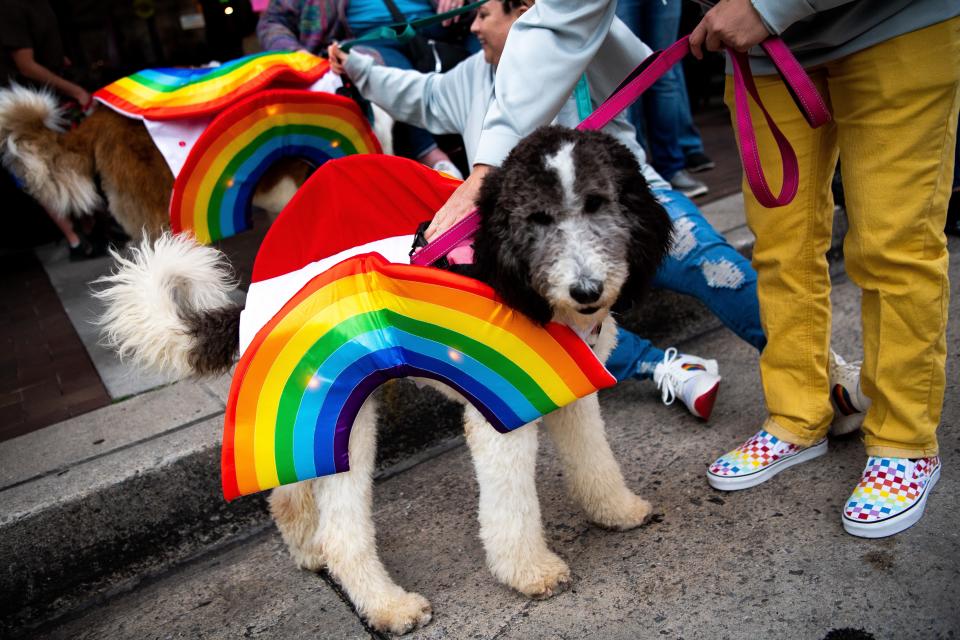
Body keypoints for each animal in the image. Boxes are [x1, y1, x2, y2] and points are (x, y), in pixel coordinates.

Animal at [94, 126, 672, 636]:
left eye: (599, 205)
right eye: (538, 219)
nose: (586, 290)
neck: (507, 272)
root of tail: (251, 301)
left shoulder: (570, 390)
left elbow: (595, 460)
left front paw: (618, 511)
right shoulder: (501, 414)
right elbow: (511, 508)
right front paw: (531, 573)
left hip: (299, 416)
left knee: (288, 490)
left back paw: (306, 548)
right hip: (335, 413)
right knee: (342, 533)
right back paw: (388, 607)